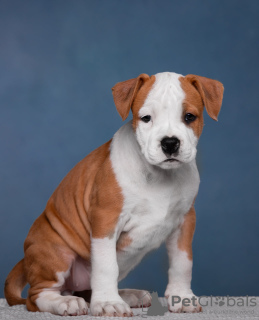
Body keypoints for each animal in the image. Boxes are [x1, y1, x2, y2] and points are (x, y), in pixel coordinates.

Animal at [4, 72, 223, 316]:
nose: (169, 143)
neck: (160, 175)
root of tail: (26, 258)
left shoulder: (184, 221)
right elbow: (106, 266)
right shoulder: (105, 220)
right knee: (38, 296)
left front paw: (182, 297)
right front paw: (109, 303)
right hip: (56, 252)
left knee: (87, 291)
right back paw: (66, 302)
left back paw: (128, 295)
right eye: (146, 118)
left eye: (189, 117)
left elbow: (182, 262)